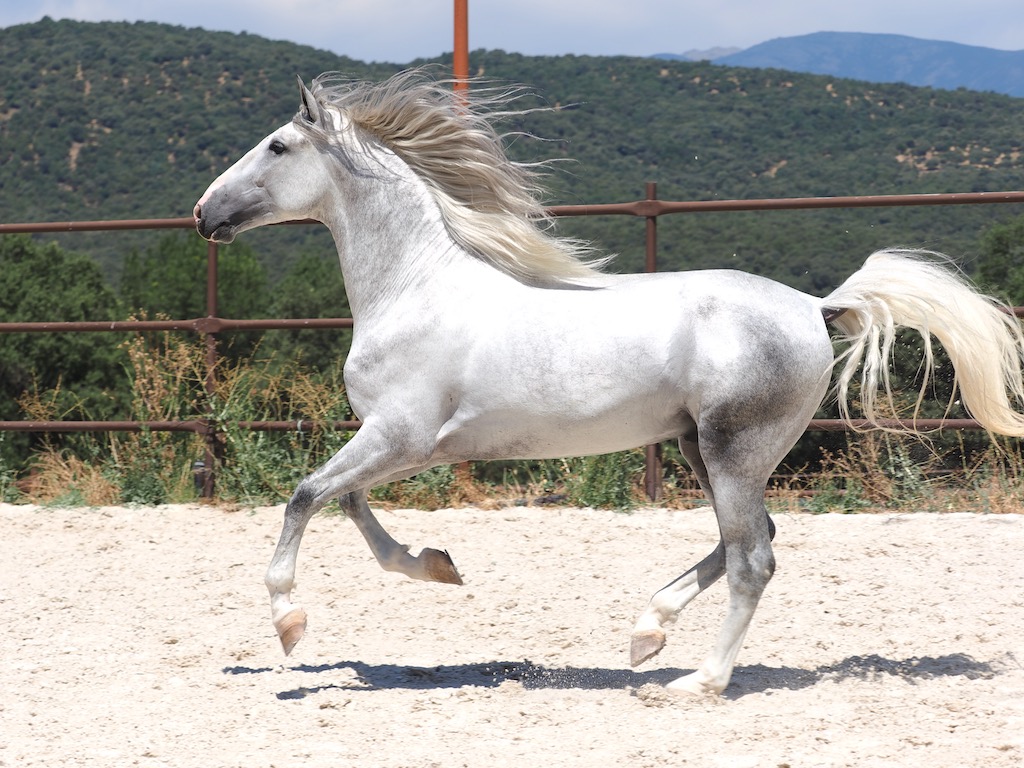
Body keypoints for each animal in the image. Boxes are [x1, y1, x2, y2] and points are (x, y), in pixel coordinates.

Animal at [194, 69, 1024, 696]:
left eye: (278, 145)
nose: (205, 212)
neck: (414, 290)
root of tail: (814, 307)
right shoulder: (397, 443)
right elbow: (350, 506)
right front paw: (437, 566)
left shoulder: (401, 436)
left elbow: (305, 495)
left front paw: (290, 623)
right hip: (702, 449)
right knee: (749, 539)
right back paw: (647, 633)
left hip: (732, 450)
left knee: (753, 557)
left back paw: (700, 681)